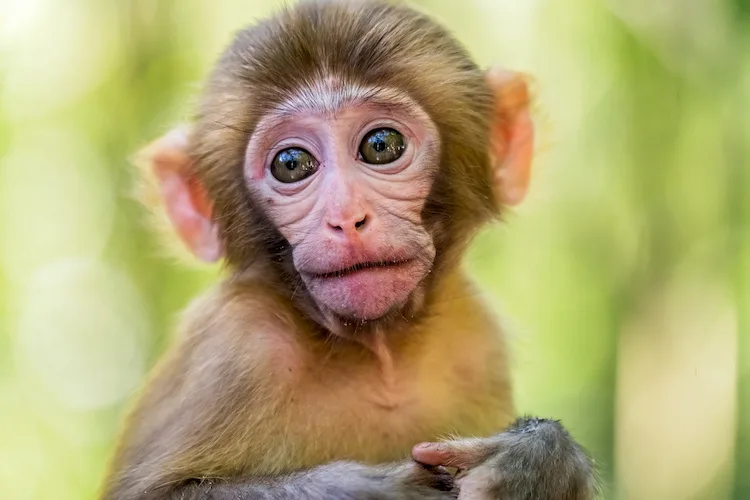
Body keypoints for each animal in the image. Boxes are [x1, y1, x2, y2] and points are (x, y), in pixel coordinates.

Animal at [100, 1, 597, 499]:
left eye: (381, 145)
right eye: (292, 164)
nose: (346, 217)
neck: (379, 357)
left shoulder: (478, 340)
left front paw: (536, 463)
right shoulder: (236, 347)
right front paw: (370, 488)